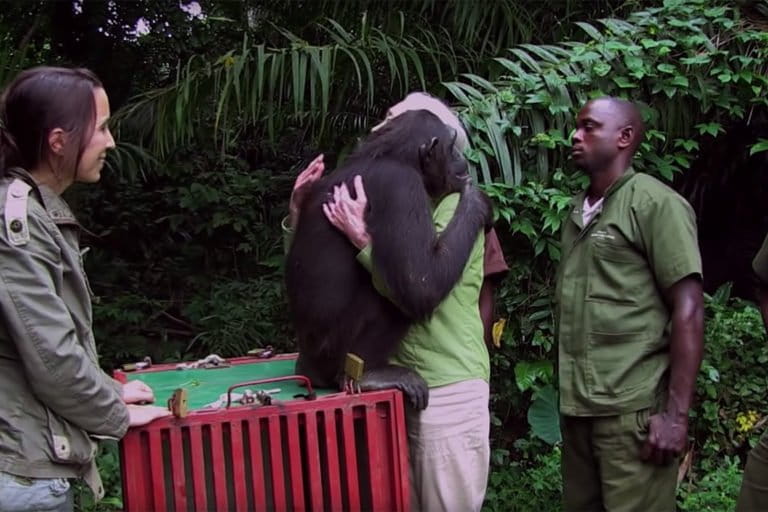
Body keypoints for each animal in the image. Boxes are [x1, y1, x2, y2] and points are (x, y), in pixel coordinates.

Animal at [286, 108, 492, 408]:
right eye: (452, 145)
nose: (462, 159)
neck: (392, 156)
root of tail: (309, 369)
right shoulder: (402, 187)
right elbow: (420, 281)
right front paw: (477, 200)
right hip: (334, 352)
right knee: (392, 299)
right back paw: (369, 375)